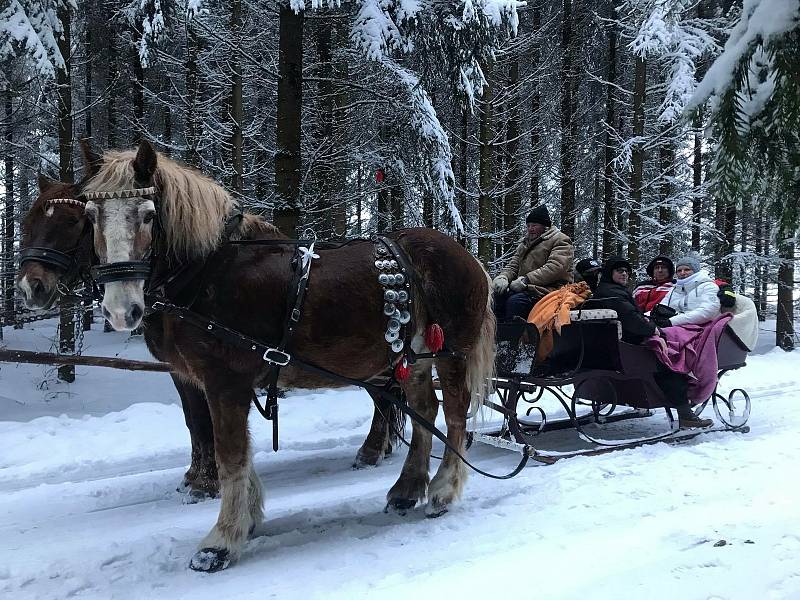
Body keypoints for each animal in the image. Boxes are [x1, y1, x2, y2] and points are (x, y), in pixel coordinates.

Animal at [18, 161, 404, 502]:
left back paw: (372, 451)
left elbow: (209, 425)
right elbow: (196, 421)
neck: (199, 274)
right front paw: (196, 477)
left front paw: (206, 483)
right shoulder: (183, 371)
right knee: (385, 397)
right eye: (27, 222)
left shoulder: (218, 372)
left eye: (72, 221)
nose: (30, 287)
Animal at [81, 141, 494, 572]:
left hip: (451, 353)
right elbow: (239, 452)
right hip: (412, 359)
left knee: (454, 414)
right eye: (91, 216)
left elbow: (229, 455)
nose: (120, 309)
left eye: (147, 215)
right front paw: (246, 519)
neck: (210, 271)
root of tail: (467, 256)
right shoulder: (216, 383)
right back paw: (407, 488)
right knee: (425, 411)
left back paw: (443, 489)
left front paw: (221, 541)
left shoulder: (225, 381)